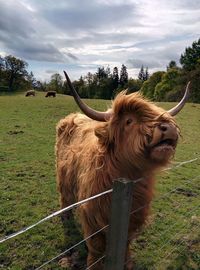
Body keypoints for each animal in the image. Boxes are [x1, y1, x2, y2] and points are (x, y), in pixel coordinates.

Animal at [55, 70, 191, 270]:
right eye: (129, 121)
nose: (168, 128)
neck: (127, 176)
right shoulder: (92, 214)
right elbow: (96, 247)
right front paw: (93, 265)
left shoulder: (133, 217)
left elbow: (125, 244)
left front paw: (127, 263)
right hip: (62, 176)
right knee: (64, 197)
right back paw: (65, 218)